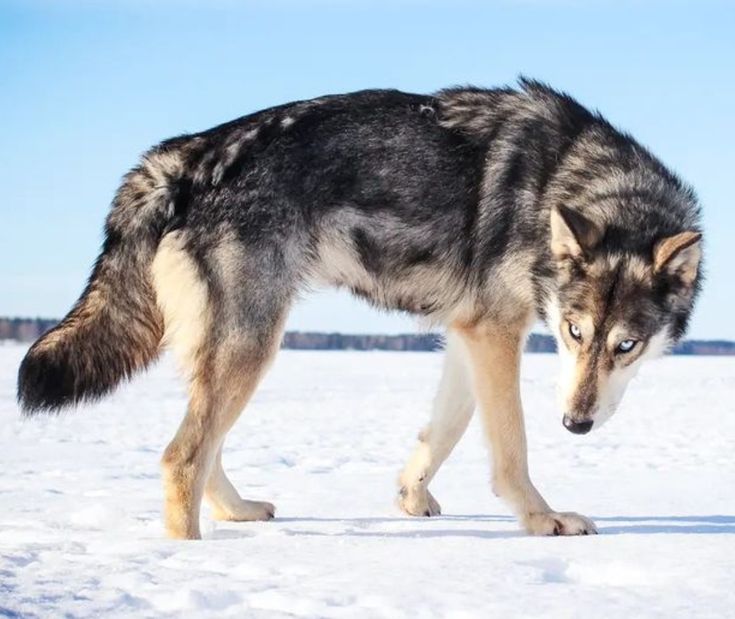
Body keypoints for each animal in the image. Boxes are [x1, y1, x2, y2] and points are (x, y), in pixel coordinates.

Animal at [20, 81, 704, 536]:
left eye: (625, 345)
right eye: (573, 332)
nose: (576, 424)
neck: (563, 182)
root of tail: (187, 153)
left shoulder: (469, 336)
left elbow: (442, 434)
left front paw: (410, 499)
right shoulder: (495, 334)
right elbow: (511, 449)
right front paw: (542, 520)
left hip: (228, 348)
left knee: (197, 447)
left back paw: (237, 513)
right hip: (253, 344)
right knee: (181, 456)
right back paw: (191, 558)